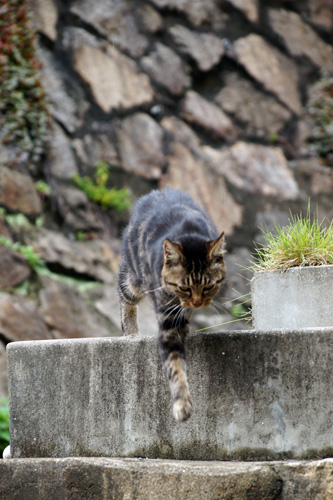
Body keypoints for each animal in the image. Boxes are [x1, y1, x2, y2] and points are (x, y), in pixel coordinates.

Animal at [117, 188, 226, 422]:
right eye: (184, 287)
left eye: (208, 286)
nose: (197, 302)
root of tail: (156, 192)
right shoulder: (168, 320)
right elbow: (174, 366)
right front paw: (182, 404)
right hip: (134, 280)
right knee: (123, 294)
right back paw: (130, 332)